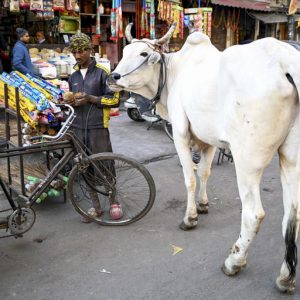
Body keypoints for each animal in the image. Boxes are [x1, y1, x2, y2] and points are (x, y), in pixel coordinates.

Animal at [107, 24, 300, 292]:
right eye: (125, 51)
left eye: (144, 54)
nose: (113, 77)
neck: (173, 74)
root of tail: (286, 61)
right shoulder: (208, 140)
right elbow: (205, 172)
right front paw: (203, 204)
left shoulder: (180, 133)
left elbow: (190, 177)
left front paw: (190, 218)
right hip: (291, 157)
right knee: (293, 216)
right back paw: (285, 277)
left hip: (248, 159)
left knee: (254, 214)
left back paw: (234, 262)